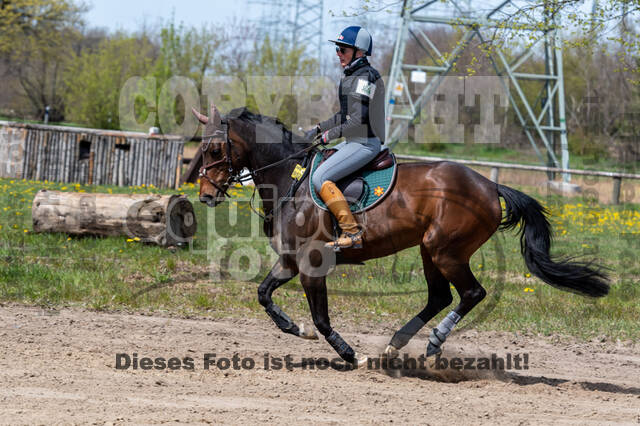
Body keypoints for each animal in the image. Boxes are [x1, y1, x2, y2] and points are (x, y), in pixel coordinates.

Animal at [191, 104, 608, 366]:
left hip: (445, 250)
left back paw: (432, 344)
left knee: (471, 293)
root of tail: (490, 185)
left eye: (214, 148)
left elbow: (322, 319)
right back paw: (396, 344)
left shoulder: (311, 263)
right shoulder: (290, 261)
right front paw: (296, 328)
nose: (206, 195)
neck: (288, 179)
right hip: (429, 250)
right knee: (440, 296)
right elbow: (264, 294)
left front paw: (349, 354)